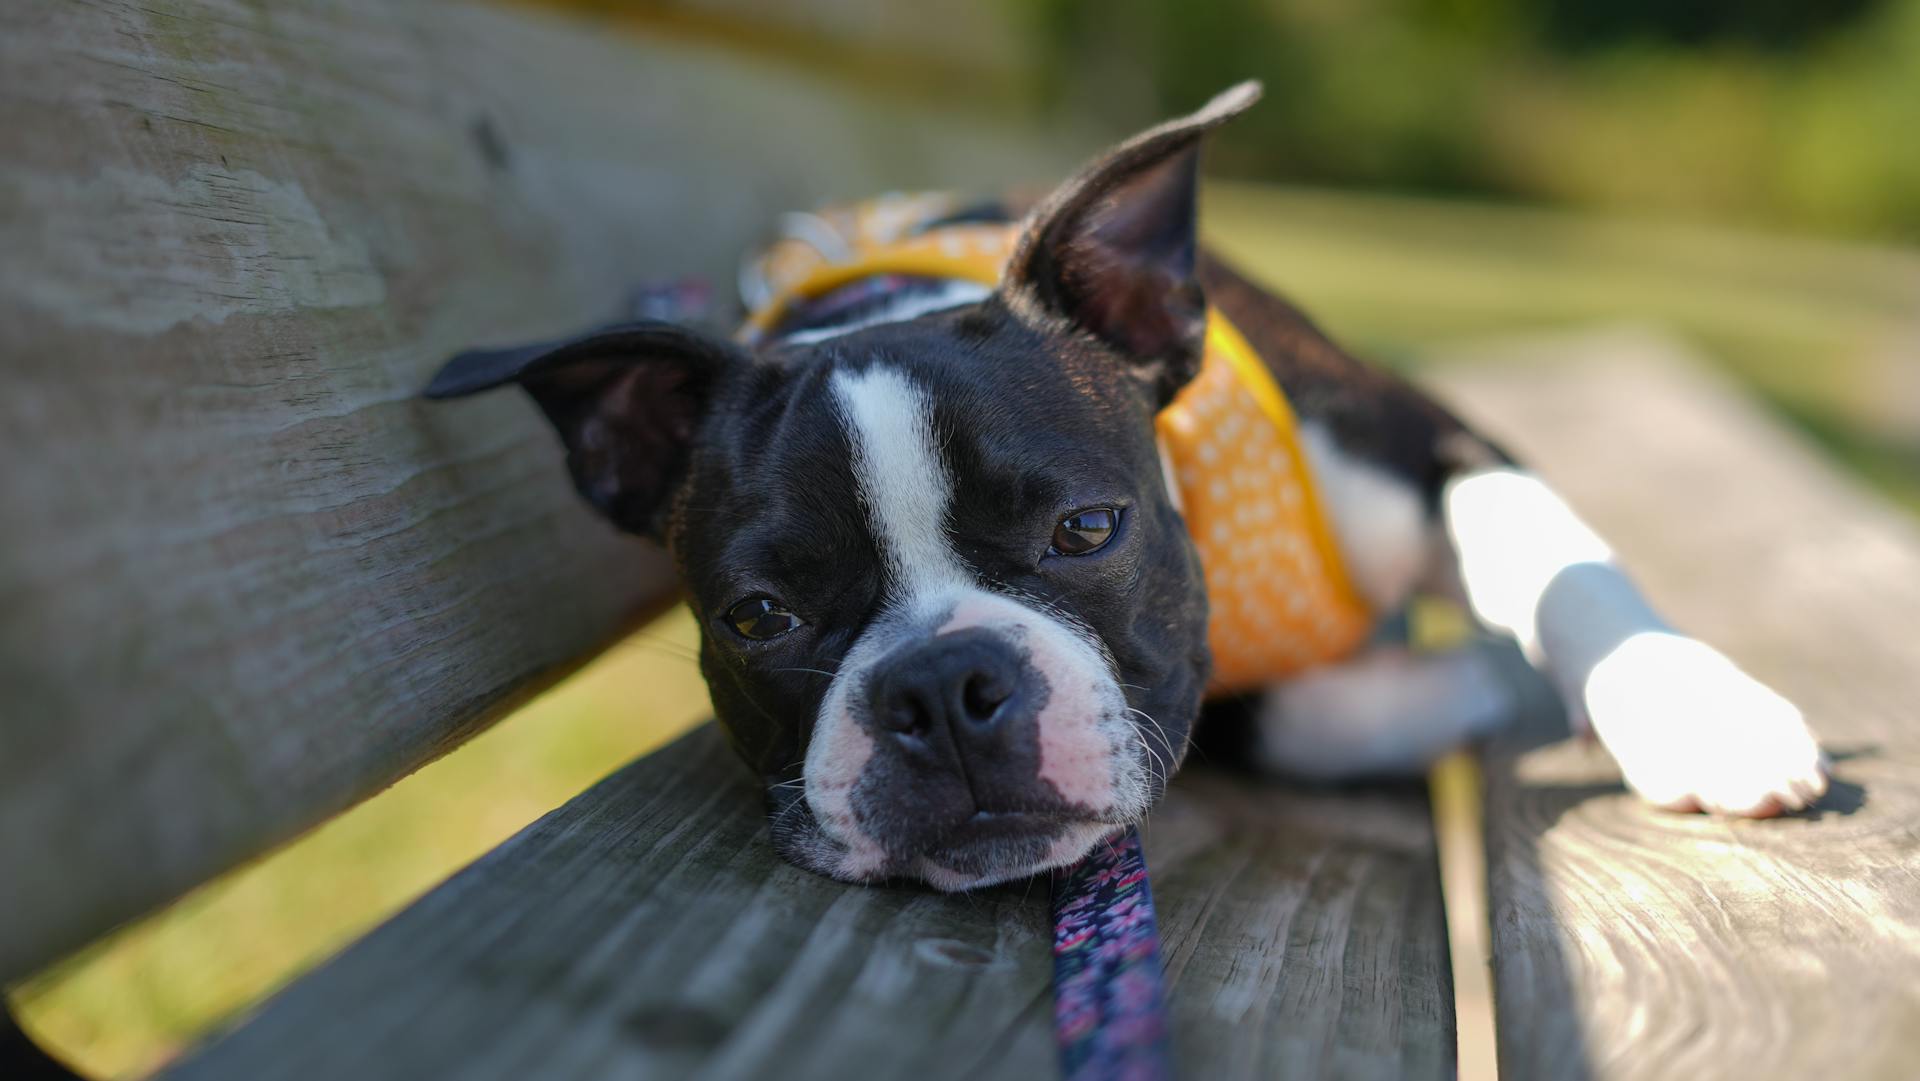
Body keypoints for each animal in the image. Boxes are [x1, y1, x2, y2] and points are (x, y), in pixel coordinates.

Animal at [432, 78, 1827, 887]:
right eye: (757, 618)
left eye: (1087, 530)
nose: (941, 689)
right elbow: (1307, 715)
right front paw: (1473, 687)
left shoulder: (1429, 438)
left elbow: (1556, 568)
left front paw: (1698, 715)